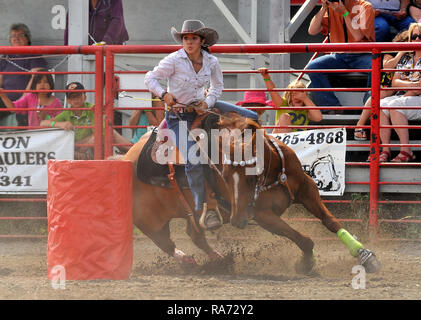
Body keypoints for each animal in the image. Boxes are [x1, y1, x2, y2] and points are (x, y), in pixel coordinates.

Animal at [121, 114, 380, 274]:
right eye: (223, 175)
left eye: (251, 175)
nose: (237, 220)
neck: (274, 173)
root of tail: (126, 157)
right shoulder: (263, 215)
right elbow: (303, 239)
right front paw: (306, 263)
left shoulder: (307, 189)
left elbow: (330, 221)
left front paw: (365, 255)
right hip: (150, 222)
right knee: (166, 242)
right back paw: (192, 262)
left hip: (189, 214)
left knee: (195, 235)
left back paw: (220, 261)